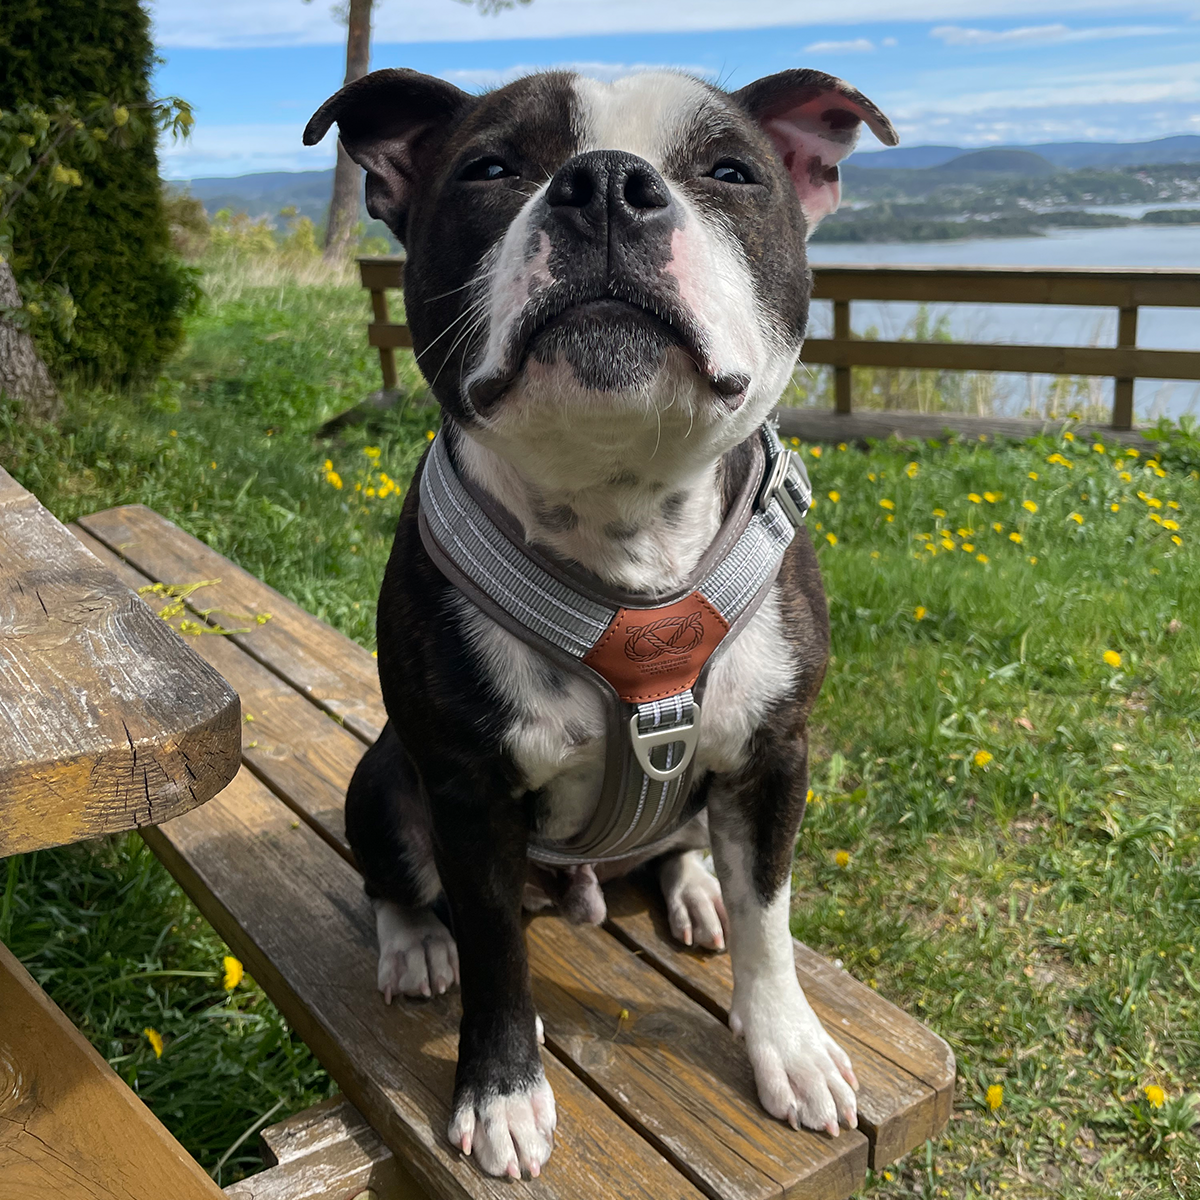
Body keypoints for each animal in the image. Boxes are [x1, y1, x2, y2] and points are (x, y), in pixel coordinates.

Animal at [304, 68, 897, 1180]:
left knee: (695, 850)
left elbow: (771, 916)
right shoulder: (467, 791)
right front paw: (501, 1091)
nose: (610, 185)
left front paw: (788, 1046)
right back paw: (415, 945)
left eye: (730, 172)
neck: (630, 531)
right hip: (385, 774)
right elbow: (496, 950)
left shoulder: (776, 754)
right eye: (490, 167)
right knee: (393, 876)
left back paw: (695, 884)